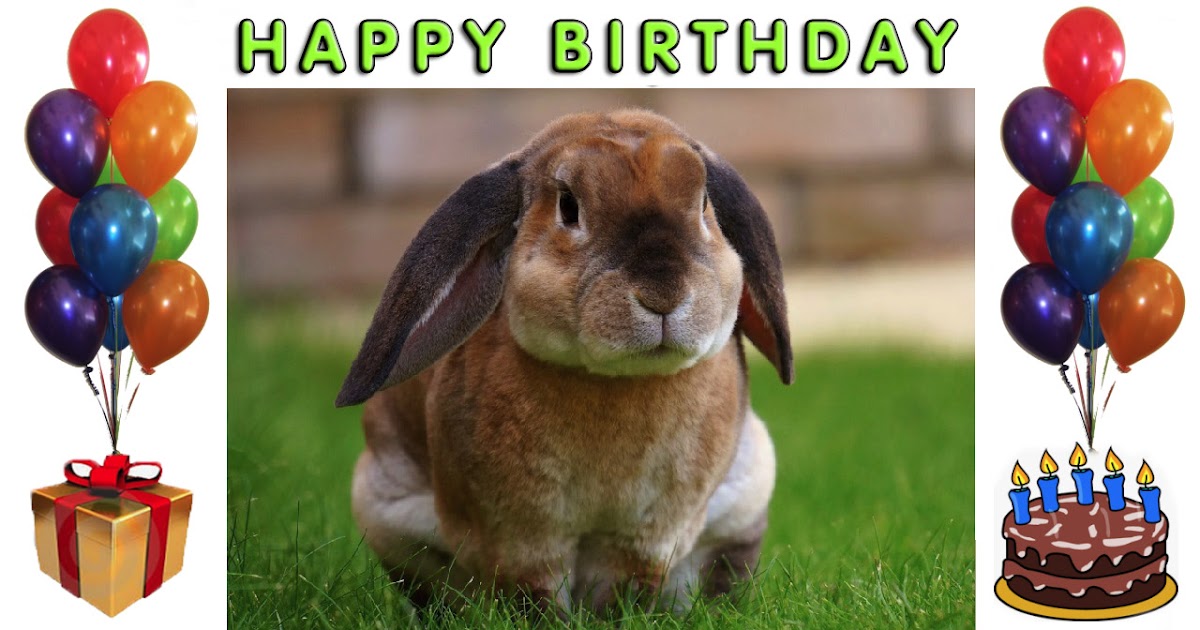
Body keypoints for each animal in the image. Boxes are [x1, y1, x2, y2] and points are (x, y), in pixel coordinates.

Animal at [336, 109, 792, 617]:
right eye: (568, 207)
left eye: (704, 202)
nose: (663, 295)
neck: (616, 381)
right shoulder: (521, 538)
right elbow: (533, 593)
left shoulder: (645, 538)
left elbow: (625, 588)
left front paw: (616, 619)